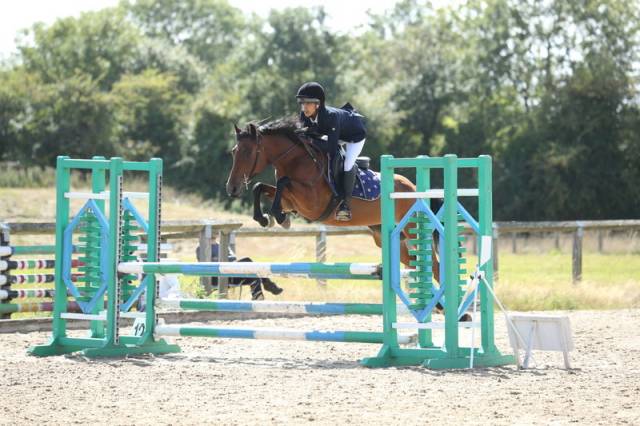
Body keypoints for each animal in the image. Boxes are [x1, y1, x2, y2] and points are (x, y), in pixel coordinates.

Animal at [225, 116, 440, 279]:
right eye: (234, 151)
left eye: (248, 152)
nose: (231, 188)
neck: (296, 160)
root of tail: (413, 188)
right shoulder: (291, 201)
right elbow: (260, 187)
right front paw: (265, 218)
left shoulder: (311, 203)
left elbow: (283, 183)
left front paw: (277, 216)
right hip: (387, 236)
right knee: (416, 262)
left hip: (412, 228)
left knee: (435, 265)